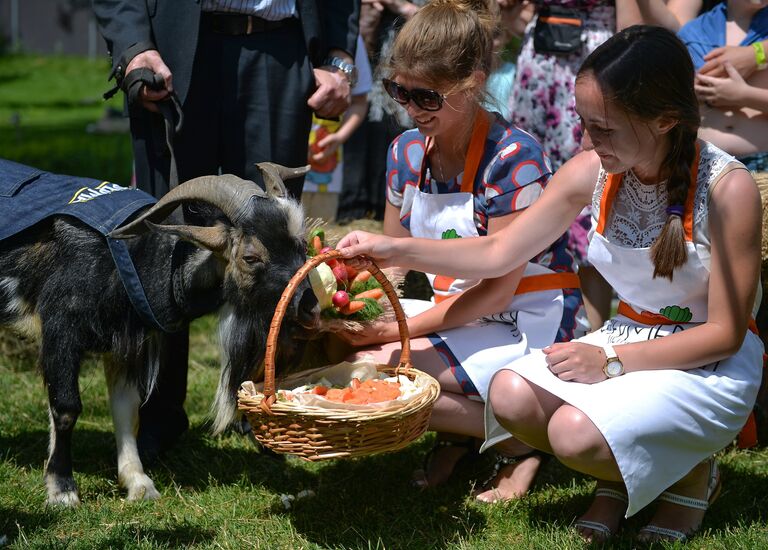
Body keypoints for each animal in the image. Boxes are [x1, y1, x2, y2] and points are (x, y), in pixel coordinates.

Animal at [0, 162, 318, 506]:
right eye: (251, 258)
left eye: (301, 244)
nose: (310, 308)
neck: (131, 259)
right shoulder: (60, 329)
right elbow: (66, 407)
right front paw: (62, 489)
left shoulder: (126, 345)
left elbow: (126, 408)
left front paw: (137, 482)